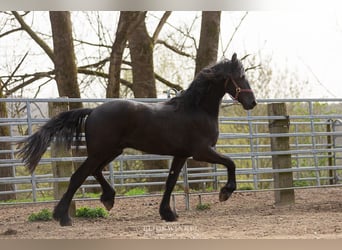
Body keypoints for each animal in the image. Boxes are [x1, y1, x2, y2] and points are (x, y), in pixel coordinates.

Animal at [16, 52, 256, 227]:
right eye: (241, 76)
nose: (252, 102)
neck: (196, 109)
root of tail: (93, 112)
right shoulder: (202, 152)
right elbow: (231, 163)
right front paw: (225, 192)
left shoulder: (181, 155)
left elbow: (170, 182)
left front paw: (168, 213)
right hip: (101, 152)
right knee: (78, 176)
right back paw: (63, 217)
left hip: (111, 151)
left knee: (95, 172)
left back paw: (108, 199)